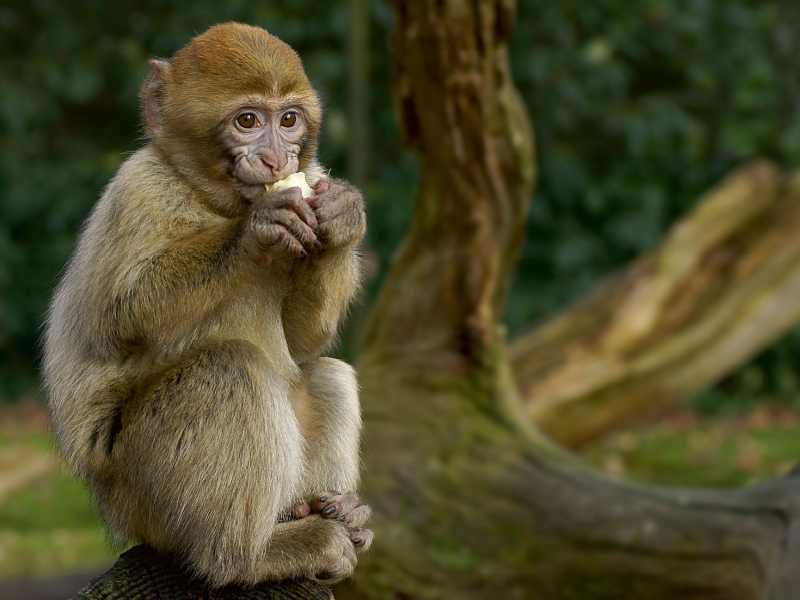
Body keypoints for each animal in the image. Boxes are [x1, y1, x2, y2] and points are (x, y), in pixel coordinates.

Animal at [40, 22, 372, 584]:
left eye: (288, 120)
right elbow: (122, 318)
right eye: (247, 121)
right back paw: (251, 556)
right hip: (140, 491)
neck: (213, 200)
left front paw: (344, 215)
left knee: (322, 373)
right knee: (229, 367)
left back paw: (328, 510)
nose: (278, 159)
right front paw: (257, 229)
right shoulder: (138, 190)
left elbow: (303, 339)